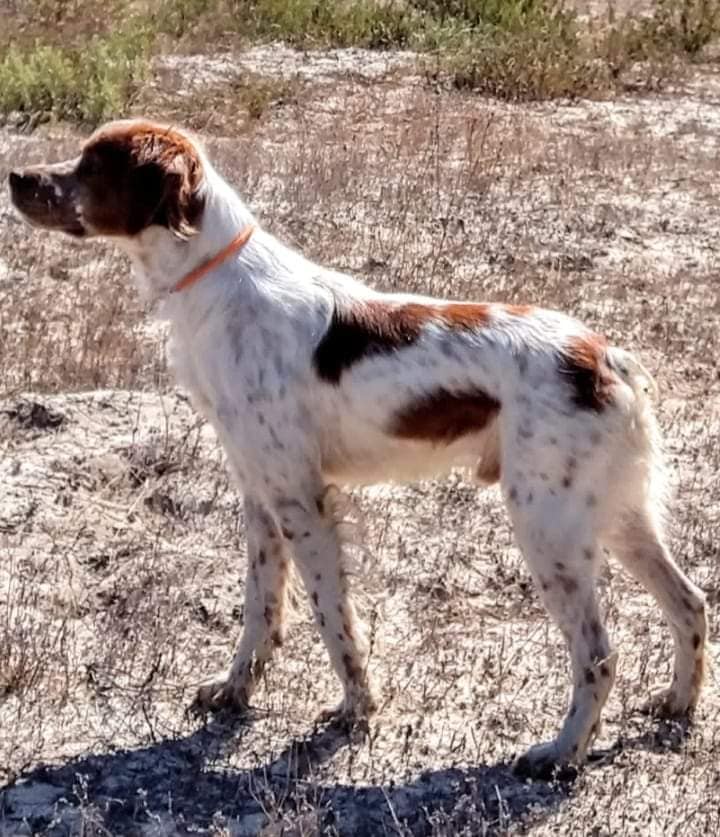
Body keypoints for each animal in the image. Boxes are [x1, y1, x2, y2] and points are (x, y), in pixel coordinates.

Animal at [7, 119, 708, 776]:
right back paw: (677, 705)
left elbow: (331, 616)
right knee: (691, 602)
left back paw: (561, 754)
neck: (217, 284)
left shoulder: (301, 500)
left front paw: (355, 709)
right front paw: (236, 690)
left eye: (93, 165)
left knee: (599, 654)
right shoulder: (259, 494)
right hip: (615, 515)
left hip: (548, 527)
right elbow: (260, 610)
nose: (16, 176)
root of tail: (606, 356)